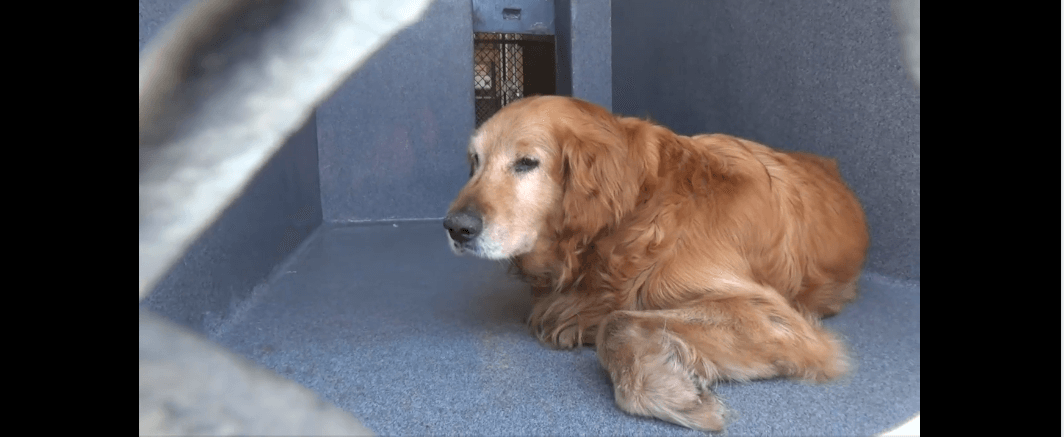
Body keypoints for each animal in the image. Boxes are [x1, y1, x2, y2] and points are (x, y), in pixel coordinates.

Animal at [443, 95, 868, 431]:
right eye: (476, 161)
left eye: (526, 162)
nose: (455, 227)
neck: (636, 212)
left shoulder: (775, 318)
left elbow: (617, 322)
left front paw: (672, 390)